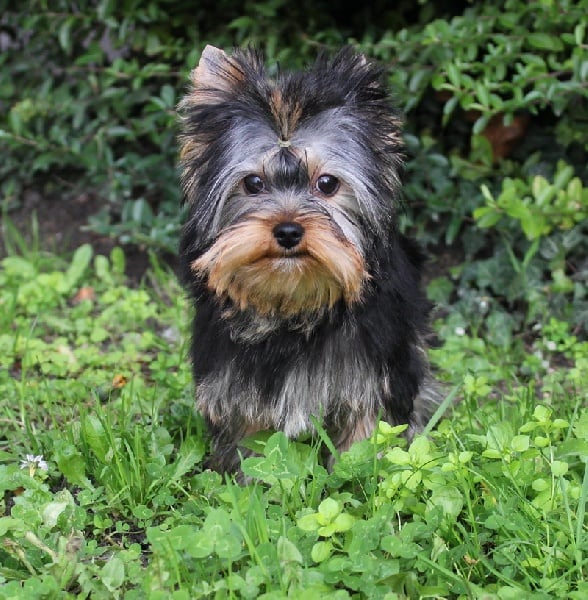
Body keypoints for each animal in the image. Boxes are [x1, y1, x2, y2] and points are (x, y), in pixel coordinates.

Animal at [178, 45, 439, 473]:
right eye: (253, 183)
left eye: (327, 183)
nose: (287, 231)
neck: (293, 306)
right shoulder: (236, 383)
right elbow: (252, 440)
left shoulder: (370, 375)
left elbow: (366, 433)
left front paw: (360, 474)